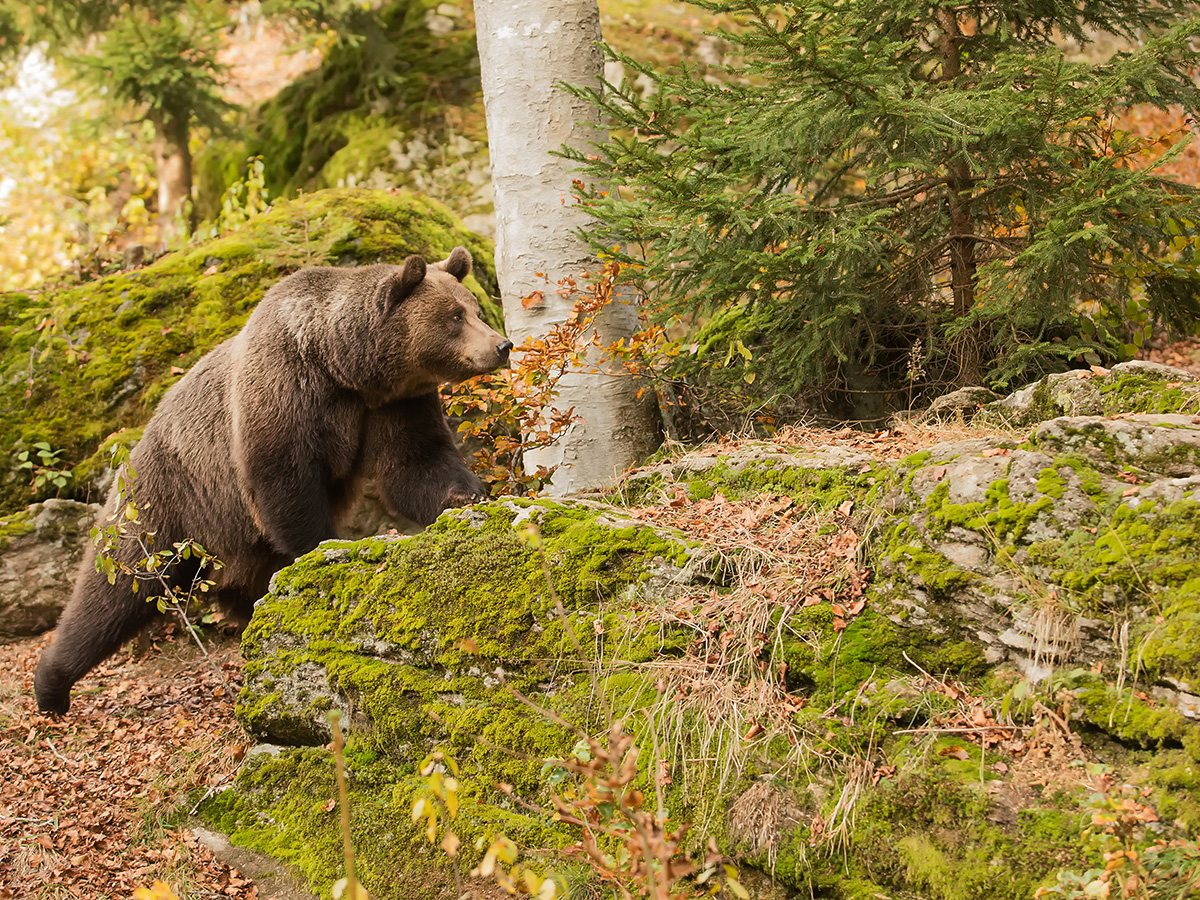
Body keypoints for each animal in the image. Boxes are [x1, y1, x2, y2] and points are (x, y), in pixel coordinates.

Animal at [32, 243, 511, 715]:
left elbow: (415, 463)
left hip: (236, 537)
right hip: (166, 498)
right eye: (455, 316)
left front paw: (467, 495)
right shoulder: (287, 390)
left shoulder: (391, 406)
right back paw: (52, 685)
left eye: (473, 308)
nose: (502, 344)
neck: (345, 366)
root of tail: (134, 447)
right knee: (118, 586)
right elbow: (286, 480)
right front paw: (324, 547)